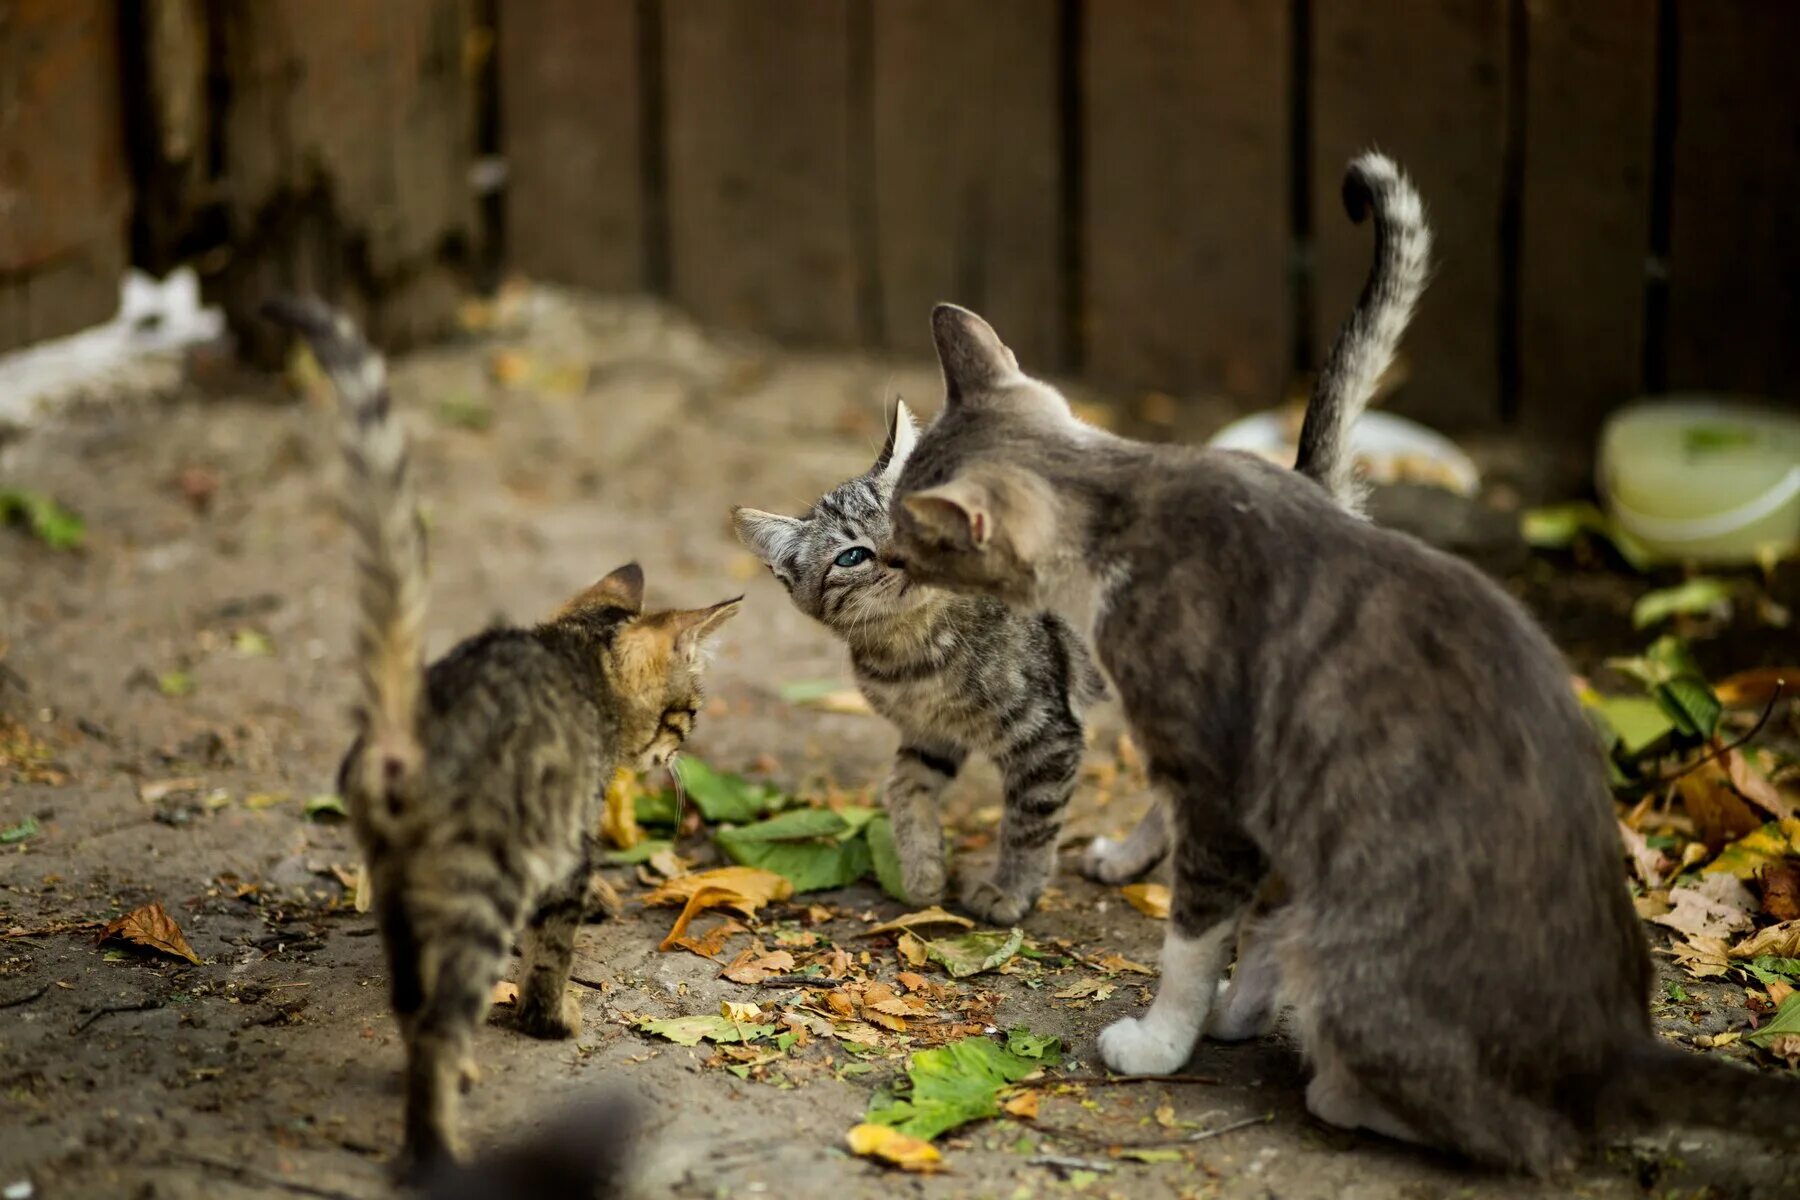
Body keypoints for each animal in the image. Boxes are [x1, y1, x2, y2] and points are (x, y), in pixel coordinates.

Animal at [268, 295, 745, 1180]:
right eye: (689, 712)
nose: (682, 752)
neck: (574, 659)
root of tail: (408, 728)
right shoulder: (565, 851)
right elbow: (553, 953)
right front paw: (549, 1020)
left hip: (397, 889)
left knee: (410, 1003)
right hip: (480, 887)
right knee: (436, 1022)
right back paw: (438, 1149)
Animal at [730, 150, 1432, 921]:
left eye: (915, 518)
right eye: (853, 555)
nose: (900, 557)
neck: (913, 652)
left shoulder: (1046, 733)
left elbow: (1028, 824)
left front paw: (1007, 893)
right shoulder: (927, 736)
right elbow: (903, 787)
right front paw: (920, 873)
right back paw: (1131, 857)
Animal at [882, 164, 1800, 1180]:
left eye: (905, 536)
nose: (877, 557)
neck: (1125, 500)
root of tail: (1617, 1050)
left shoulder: (1226, 785)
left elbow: (1191, 939)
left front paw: (1161, 1041)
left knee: (1521, 1135)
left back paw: (1320, 1070)